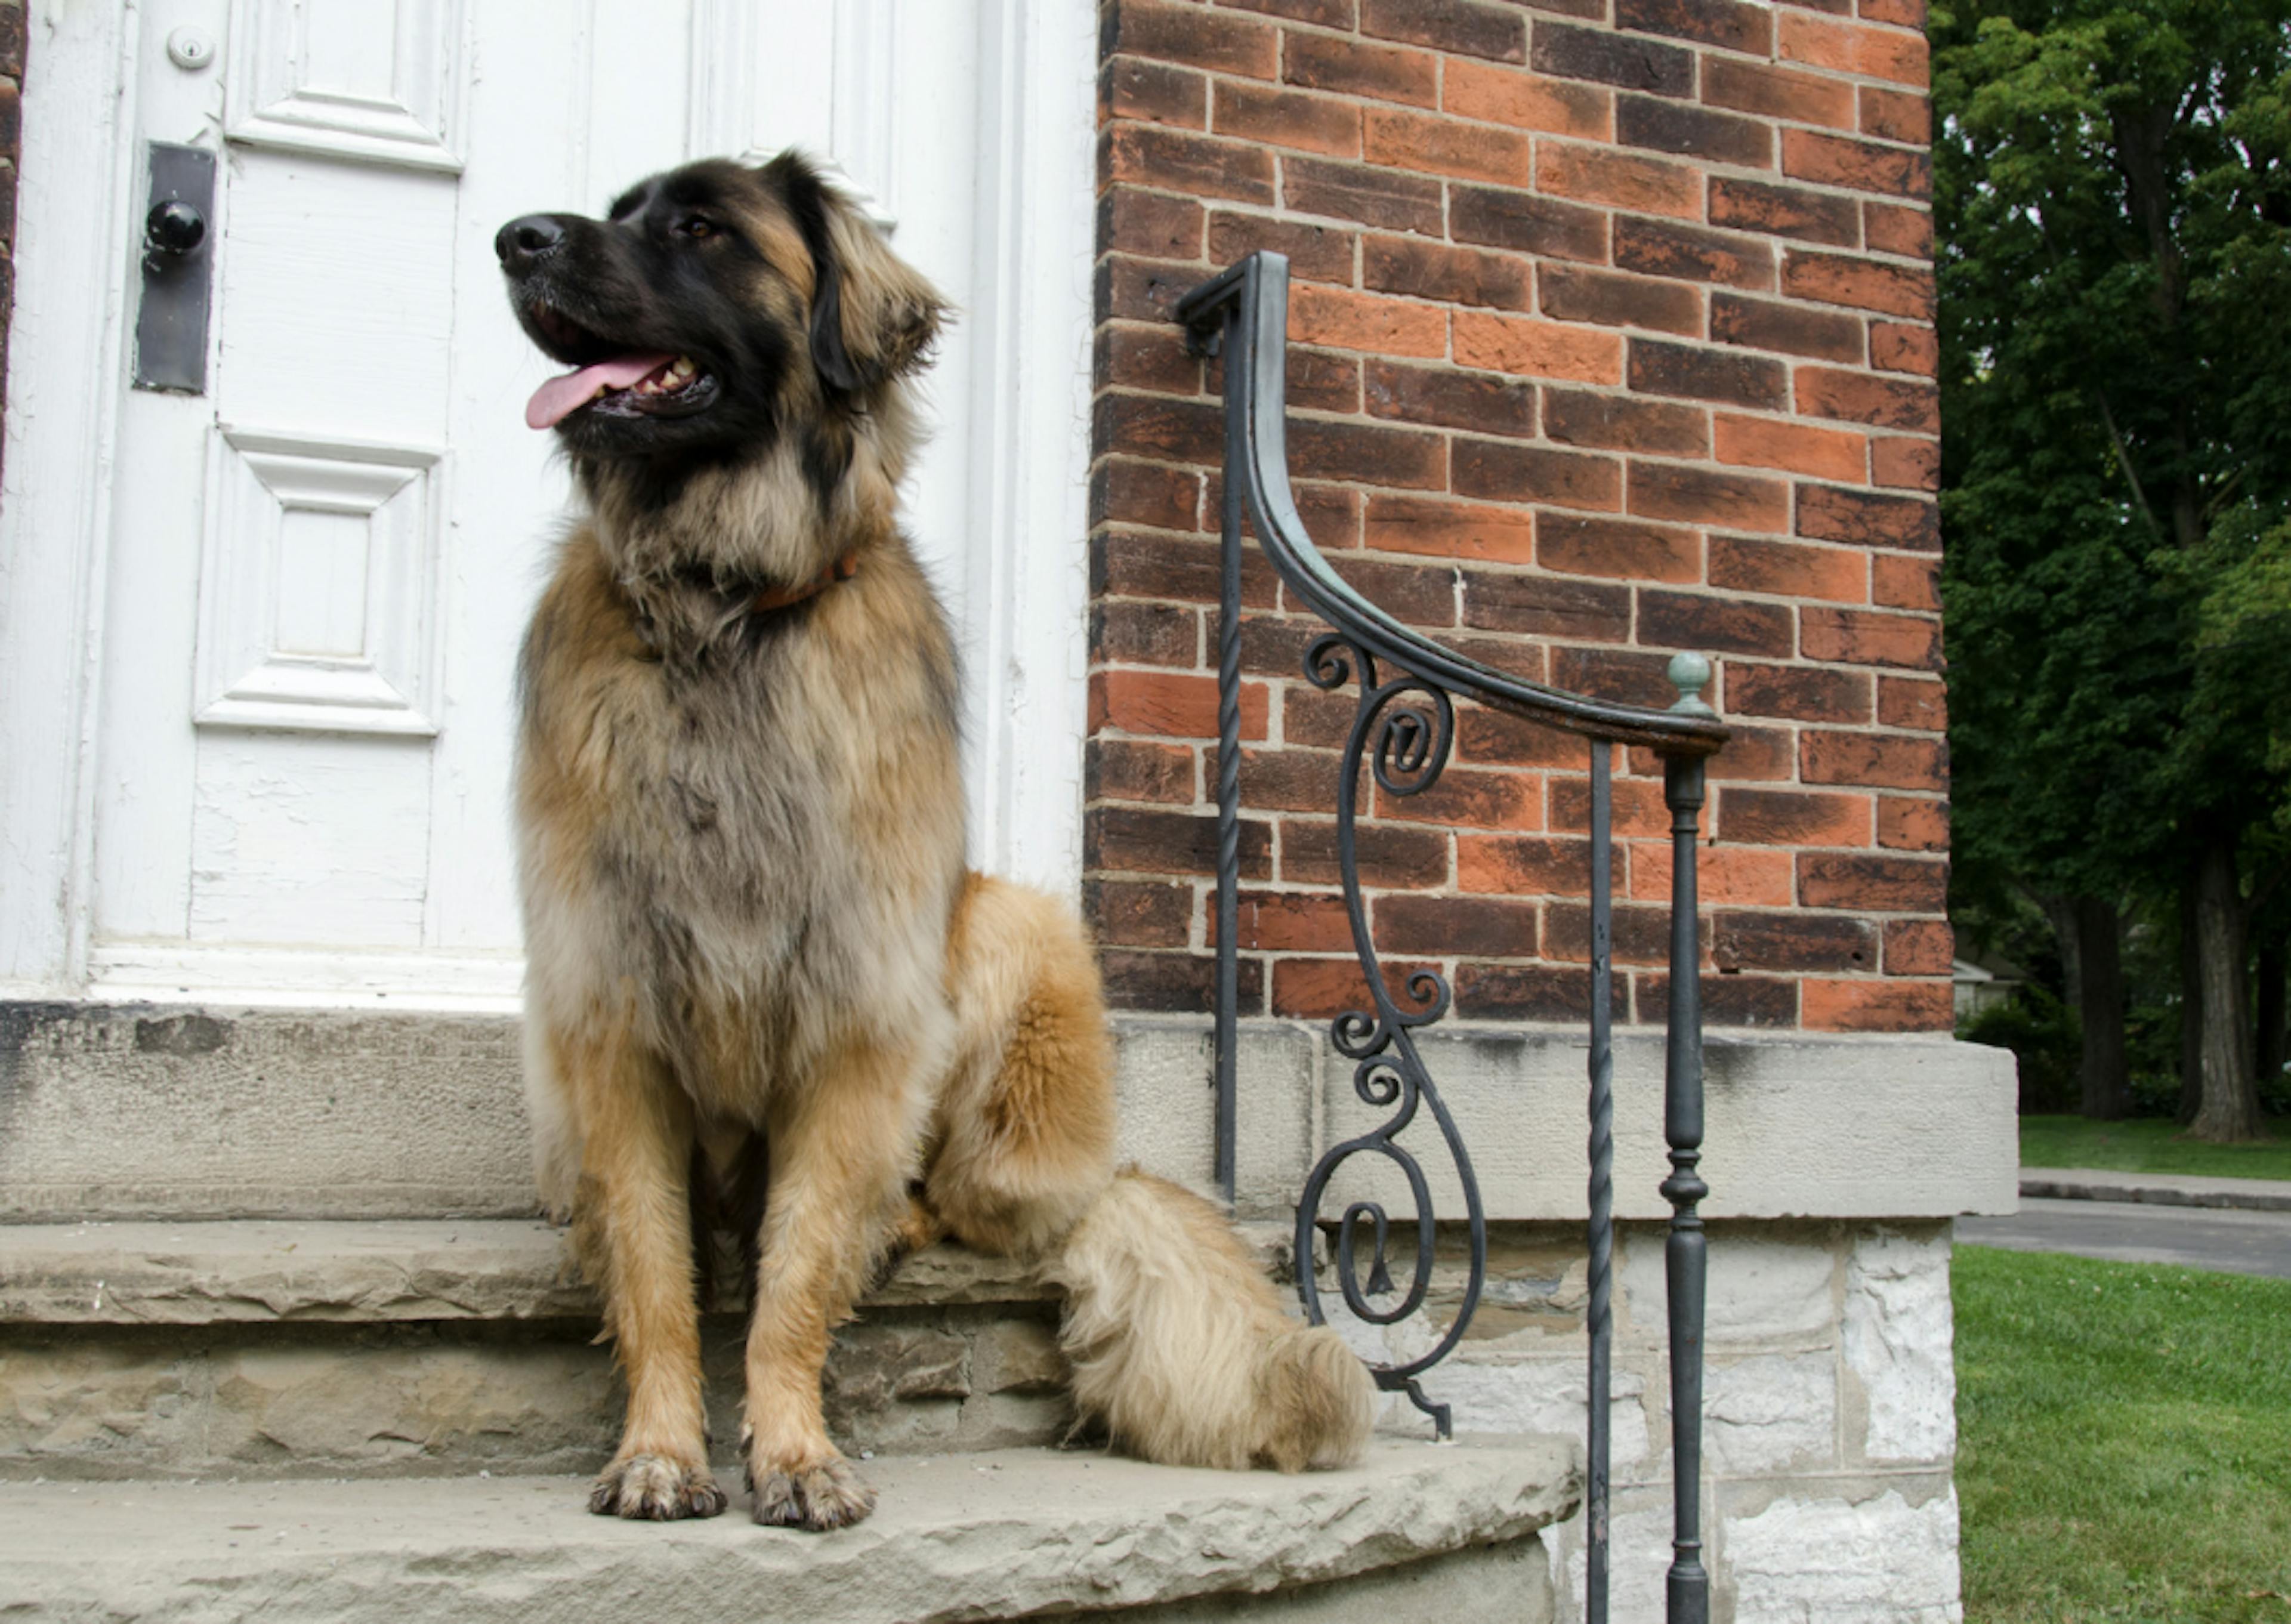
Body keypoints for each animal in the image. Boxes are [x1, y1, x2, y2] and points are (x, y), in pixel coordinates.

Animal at [492, 145, 1365, 1530]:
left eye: (699, 227)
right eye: (618, 212)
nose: (515, 238)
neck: (725, 610)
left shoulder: (859, 1017)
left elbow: (795, 1272)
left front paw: (794, 1449)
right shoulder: (610, 1019)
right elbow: (654, 1268)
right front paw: (663, 1449)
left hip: (1007, 927)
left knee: (961, 1206)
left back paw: (895, 1226)